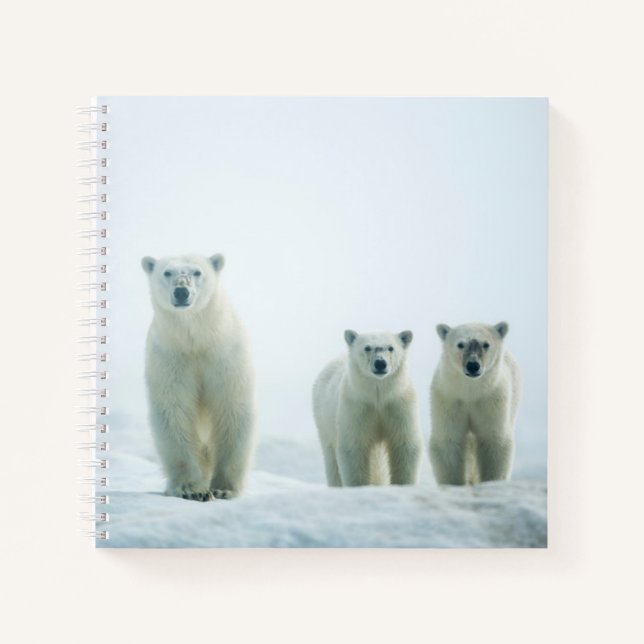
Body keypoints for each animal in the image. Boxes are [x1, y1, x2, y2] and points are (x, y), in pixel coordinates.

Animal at [141, 253, 255, 501]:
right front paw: (191, 489)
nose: (181, 291)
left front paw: (223, 488)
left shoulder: (224, 356)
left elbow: (231, 408)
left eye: (197, 272)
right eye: (167, 272)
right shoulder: (170, 358)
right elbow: (174, 411)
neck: (196, 340)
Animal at [313, 329, 422, 487]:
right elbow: (354, 447)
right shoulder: (357, 406)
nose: (380, 363)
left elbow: (404, 444)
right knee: (331, 457)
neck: (377, 395)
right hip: (324, 419)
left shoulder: (398, 405)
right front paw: (358, 486)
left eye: (391, 347)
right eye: (367, 347)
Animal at [429, 321, 521, 485]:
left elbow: (493, 441)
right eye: (460, 344)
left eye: (486, 344)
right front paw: (454, 483)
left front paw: (492, 482)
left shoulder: (491, 399)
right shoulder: (449, 398)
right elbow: (448, 440)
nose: (473, 365)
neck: (470, 393)